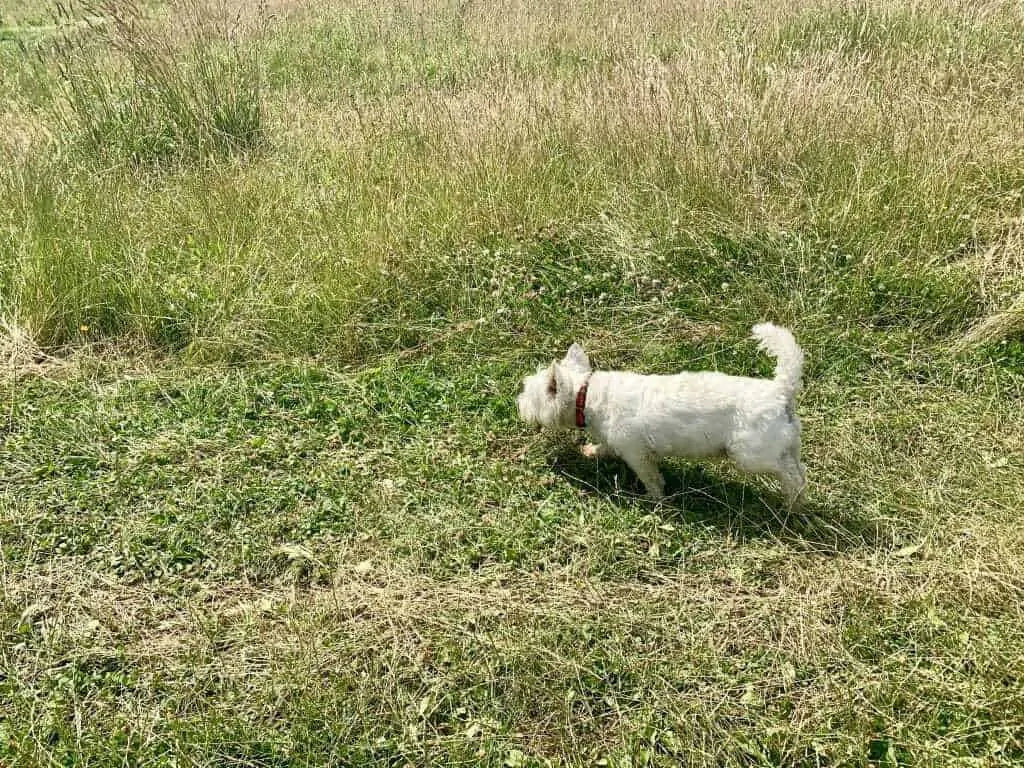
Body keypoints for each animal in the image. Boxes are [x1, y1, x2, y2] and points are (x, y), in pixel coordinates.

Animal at [520, 323, 806, 505]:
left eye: (527, 392)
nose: (518, 404)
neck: (588, 396)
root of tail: (780, 390)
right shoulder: (616, 441)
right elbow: (605, 447)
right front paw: (592, 450)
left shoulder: (637, 453)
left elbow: (651, 478)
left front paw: (655, 499)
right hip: (787, 444)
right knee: (799, 469)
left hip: (751, 454)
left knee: (790, 475)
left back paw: (791, 503)